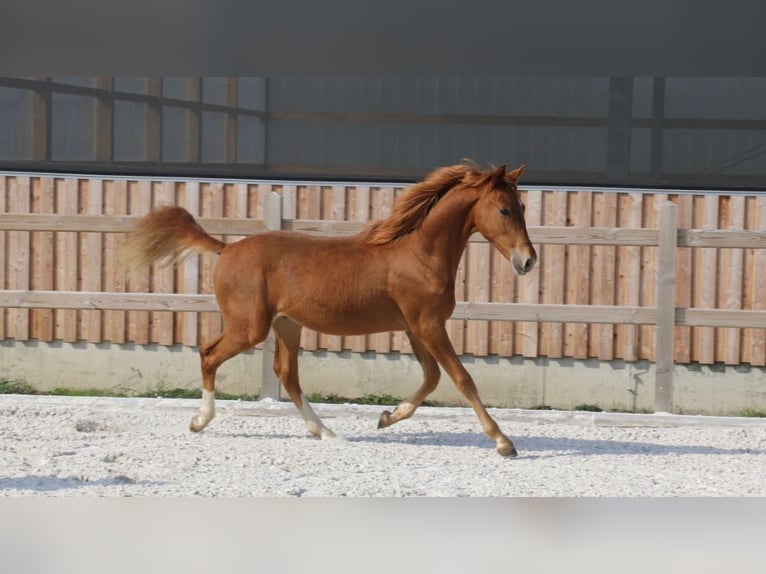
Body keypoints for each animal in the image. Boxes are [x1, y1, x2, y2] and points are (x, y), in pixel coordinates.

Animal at [123, 163, 536, 460]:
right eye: (504, 209)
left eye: (523, 207)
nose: (528, 261)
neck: (418, 253)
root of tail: (226, 249)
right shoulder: (428, 325)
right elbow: (462, 379)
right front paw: (504, 442)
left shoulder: (416, 327)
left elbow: (432, 378)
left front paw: (387, 417)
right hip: (250, 327)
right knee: (209, 353)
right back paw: (199, 420)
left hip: (286, 326)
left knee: (287, 375)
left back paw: (325, 432)